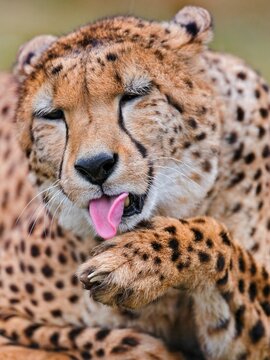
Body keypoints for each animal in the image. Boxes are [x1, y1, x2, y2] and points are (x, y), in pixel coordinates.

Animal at [0, 5, 270, 360]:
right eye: (52, 115)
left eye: (134, 95)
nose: (95, 166)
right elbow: (92, 338)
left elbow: (216, 236)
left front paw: (131, 264)